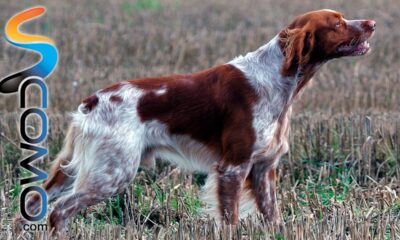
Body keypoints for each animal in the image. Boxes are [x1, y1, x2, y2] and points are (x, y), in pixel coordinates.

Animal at [13, 8, 376, 234]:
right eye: (338, 23)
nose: (372, 22)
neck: (277, 79)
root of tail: (92, 101)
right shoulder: (232, 167)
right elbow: (230, 219)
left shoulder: (263, 169)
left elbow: (272, 215)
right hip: (111, 172)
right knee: (59, 210)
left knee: (32, 202)